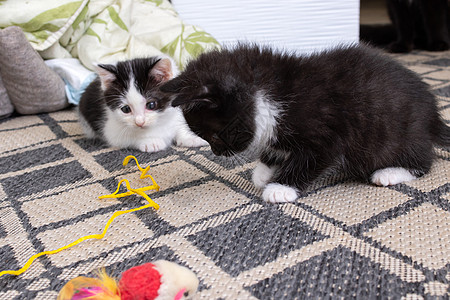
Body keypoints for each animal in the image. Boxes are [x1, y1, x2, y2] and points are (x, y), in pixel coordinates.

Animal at [79, 56, 207, 151]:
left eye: (151, 105)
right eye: (125, 109)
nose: (139, 122)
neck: (159, 123)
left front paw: (191, 137)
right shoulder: (111, 130)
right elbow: (127, 137)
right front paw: (151, 141)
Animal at [156, 44, 450, 204]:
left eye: (216, 136)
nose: (218, 152)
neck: (269, 93)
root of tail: (433, 115)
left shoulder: (327, 133)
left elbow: (309, 161)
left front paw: (280, 187)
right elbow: (276, 146)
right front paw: (265, 171)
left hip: (396, 133)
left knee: (423, 162)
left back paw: (389, 172)